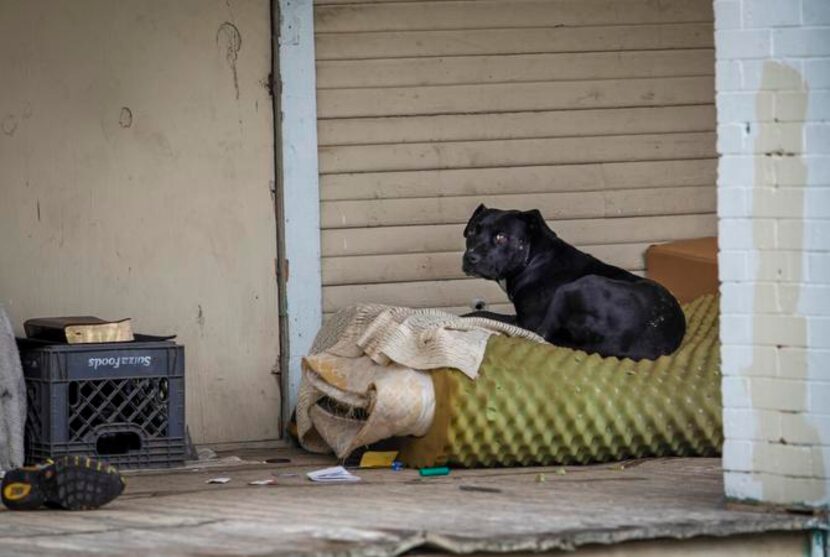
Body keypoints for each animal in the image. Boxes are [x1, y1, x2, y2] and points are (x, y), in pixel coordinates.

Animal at [462, 205, 688, 360]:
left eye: (501, 237)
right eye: (472, 232)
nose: (470, 257)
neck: (532, 258)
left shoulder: (526, 321)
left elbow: (480, 314)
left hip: (574, 288)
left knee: (541, 336)